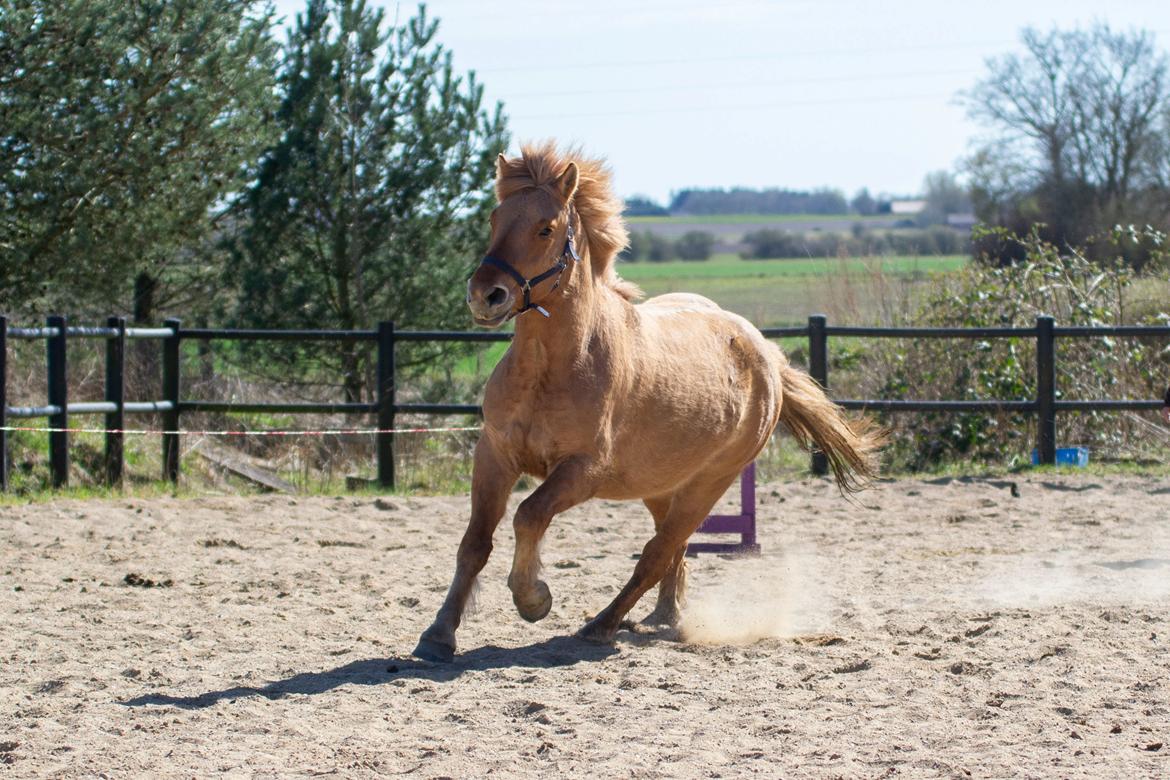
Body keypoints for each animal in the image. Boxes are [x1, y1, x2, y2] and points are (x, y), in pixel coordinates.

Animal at [411, 142, 879, 664]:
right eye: (495, 218)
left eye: (545, 228)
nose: (485, 295)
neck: (550, 367)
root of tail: (764, 352)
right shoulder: (494, 455)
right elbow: (474, 542)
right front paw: (438, 635)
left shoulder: (583, 470)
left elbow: (529, 514)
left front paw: (533, 598)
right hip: (660, 485)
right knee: (672, 550)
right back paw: (662, 615)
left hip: (709, 483)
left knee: (658, 552)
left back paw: (602, 625)